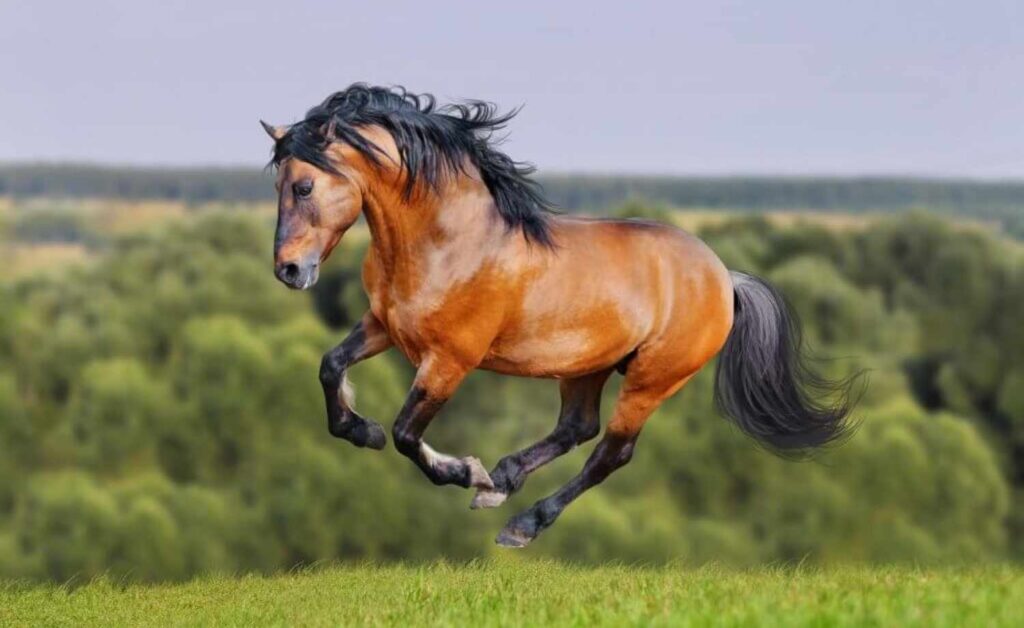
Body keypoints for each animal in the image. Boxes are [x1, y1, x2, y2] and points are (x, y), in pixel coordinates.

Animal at [261, 84, 860, 547]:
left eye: (304, 185)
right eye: (277, 185)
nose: (288, 270)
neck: (446, 240)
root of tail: (722, 277)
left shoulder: (451, 359)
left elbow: (408, 433)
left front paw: (464, 470)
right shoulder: (383, 325)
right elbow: (330, 366)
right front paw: (363, 432)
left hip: (652, 379)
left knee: (611, 452)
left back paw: (520, 522)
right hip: (587, 366)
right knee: (577, 427)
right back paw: (503, 481)